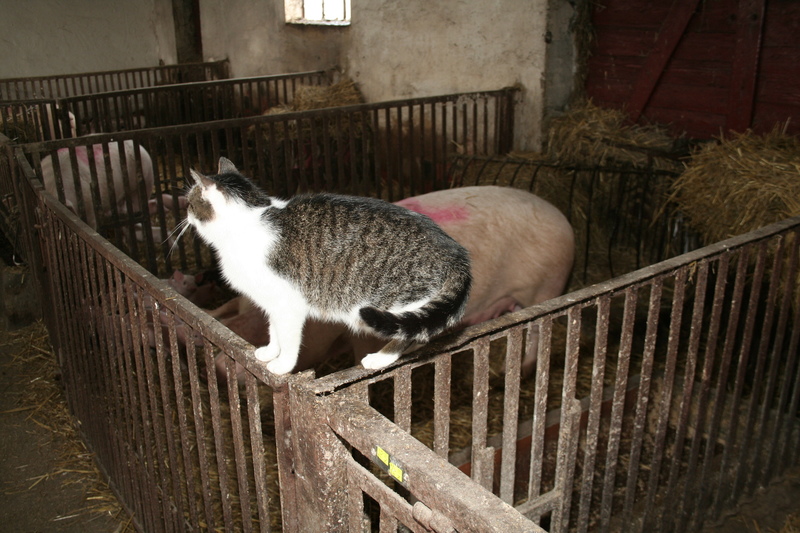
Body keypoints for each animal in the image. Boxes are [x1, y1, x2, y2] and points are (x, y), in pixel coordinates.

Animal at [183, 156, 468, 374]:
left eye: (189, 201)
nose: (185, 213)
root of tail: (457, 254)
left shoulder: (288, 304)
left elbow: (288, 338)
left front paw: (283, 365)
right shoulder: (272, 303)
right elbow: (273, 331)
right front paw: (269, 352)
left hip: (394, 302)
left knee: (406, 332)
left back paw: (380, 358)